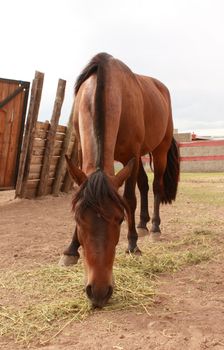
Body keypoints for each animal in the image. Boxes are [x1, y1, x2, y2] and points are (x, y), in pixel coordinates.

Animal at [59, 52, 178, 306]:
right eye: (78, 219)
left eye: (120, 219)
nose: (99, 291)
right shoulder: (82, 151)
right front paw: (71, 250)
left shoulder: (131, 154)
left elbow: (129, 199)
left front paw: (132, 245)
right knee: (144, 185)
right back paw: (143, 225)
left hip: (159, 151)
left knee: (155, 186)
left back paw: (153, 228)